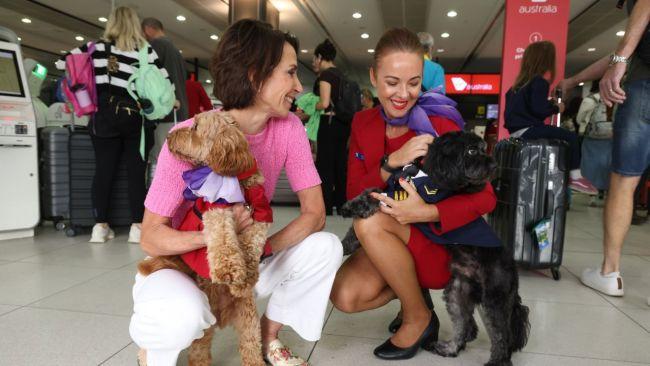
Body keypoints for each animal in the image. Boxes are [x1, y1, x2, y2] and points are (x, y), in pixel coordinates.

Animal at [137, 111, 268, 366]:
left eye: (195, 127)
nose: (168, 136)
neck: (233, 179)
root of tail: (220, 316)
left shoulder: (260, 214)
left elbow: (252, 244)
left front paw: (246, 277)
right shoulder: (215, 211)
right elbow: (223, 240)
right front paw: (229, 270)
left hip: (249, 320)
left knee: (250, 348)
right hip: (203, 330)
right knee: (197, 354)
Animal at [340, 132, 528, 366]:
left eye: (484, 148)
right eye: (472, 150)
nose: (494, 165)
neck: (427, 174)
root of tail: (512, 267)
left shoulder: (403, 202)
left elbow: (376, 201)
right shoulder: (393, 190)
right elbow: (372, 192)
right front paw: (346, 237)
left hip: (495, 297)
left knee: (501, 334)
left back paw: (497, 361)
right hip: (458, 292)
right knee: (465, 324)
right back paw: (449, 348)